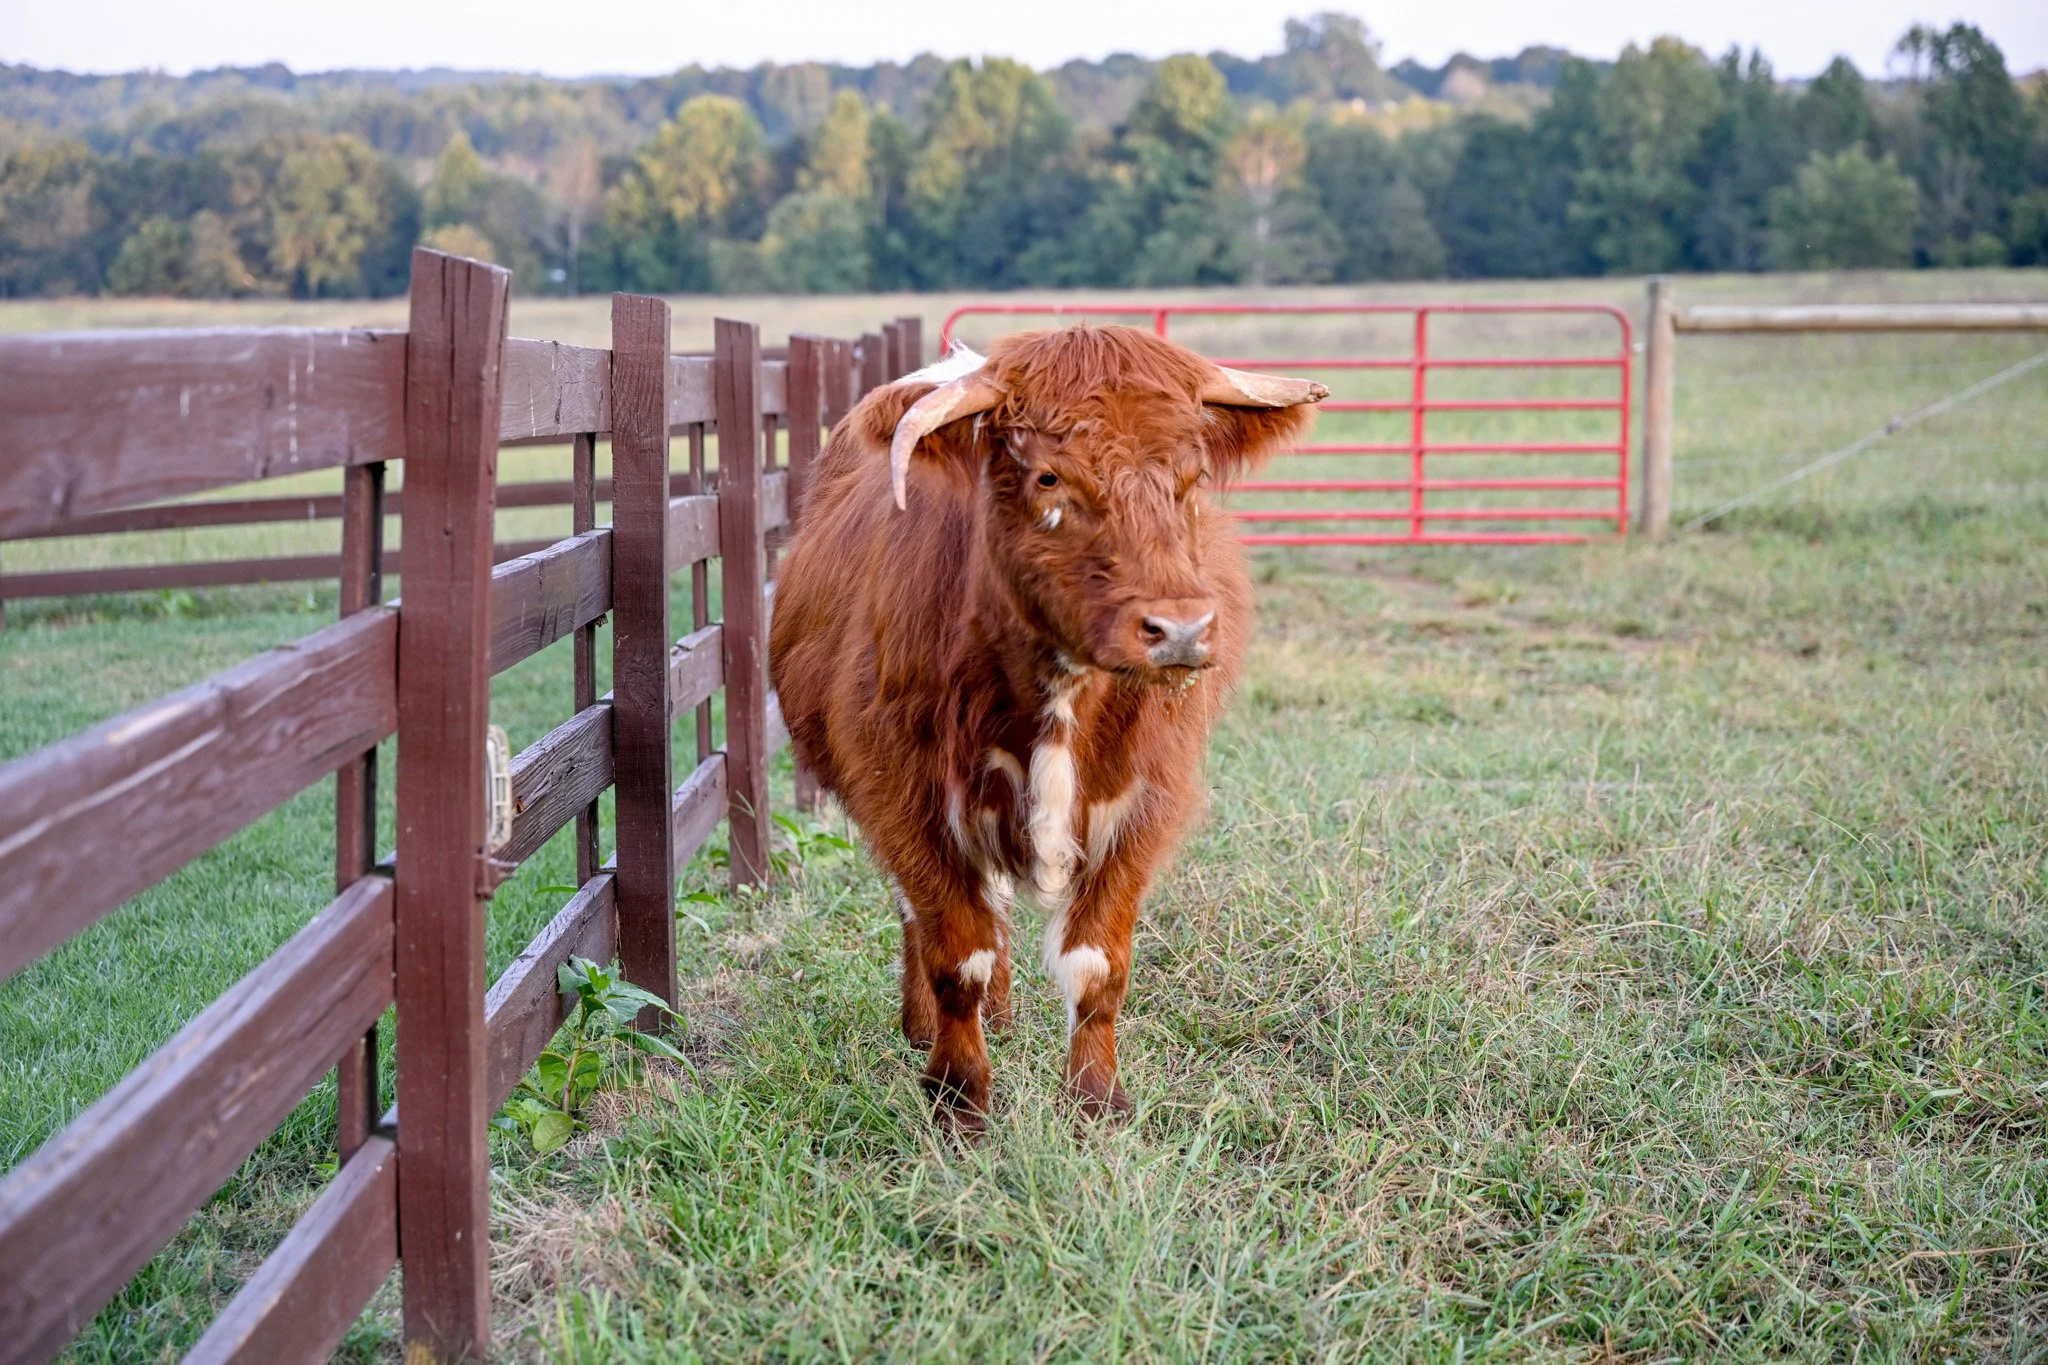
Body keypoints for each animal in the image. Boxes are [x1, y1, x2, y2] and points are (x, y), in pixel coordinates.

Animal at [769, 325, 1325, 1129]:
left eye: (1191, 477)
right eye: (1049, 479)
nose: (1181, 631)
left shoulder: (1143, 804)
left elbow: (1099, 964)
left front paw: (1095, 1099)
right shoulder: (904, 797)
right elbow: (955, 953)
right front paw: (958, 1097)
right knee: (927, 916)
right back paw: (924, 1027)